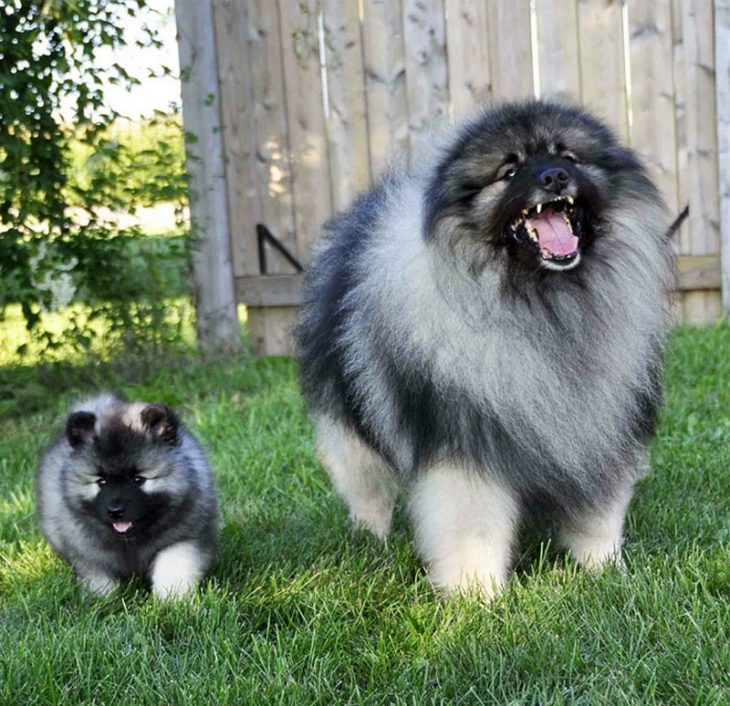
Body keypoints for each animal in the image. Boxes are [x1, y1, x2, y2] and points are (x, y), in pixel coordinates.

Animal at [292, 99, 672, 592]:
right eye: (509, 171)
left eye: (567, 156)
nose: (554, 177)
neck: (542, 306)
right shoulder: (465, 449)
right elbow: (472, 530)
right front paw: (476, 595)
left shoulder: (599, 432)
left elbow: (598, 516)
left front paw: (604, 570)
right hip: (350, 425)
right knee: (366, 488)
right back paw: (372, 541)